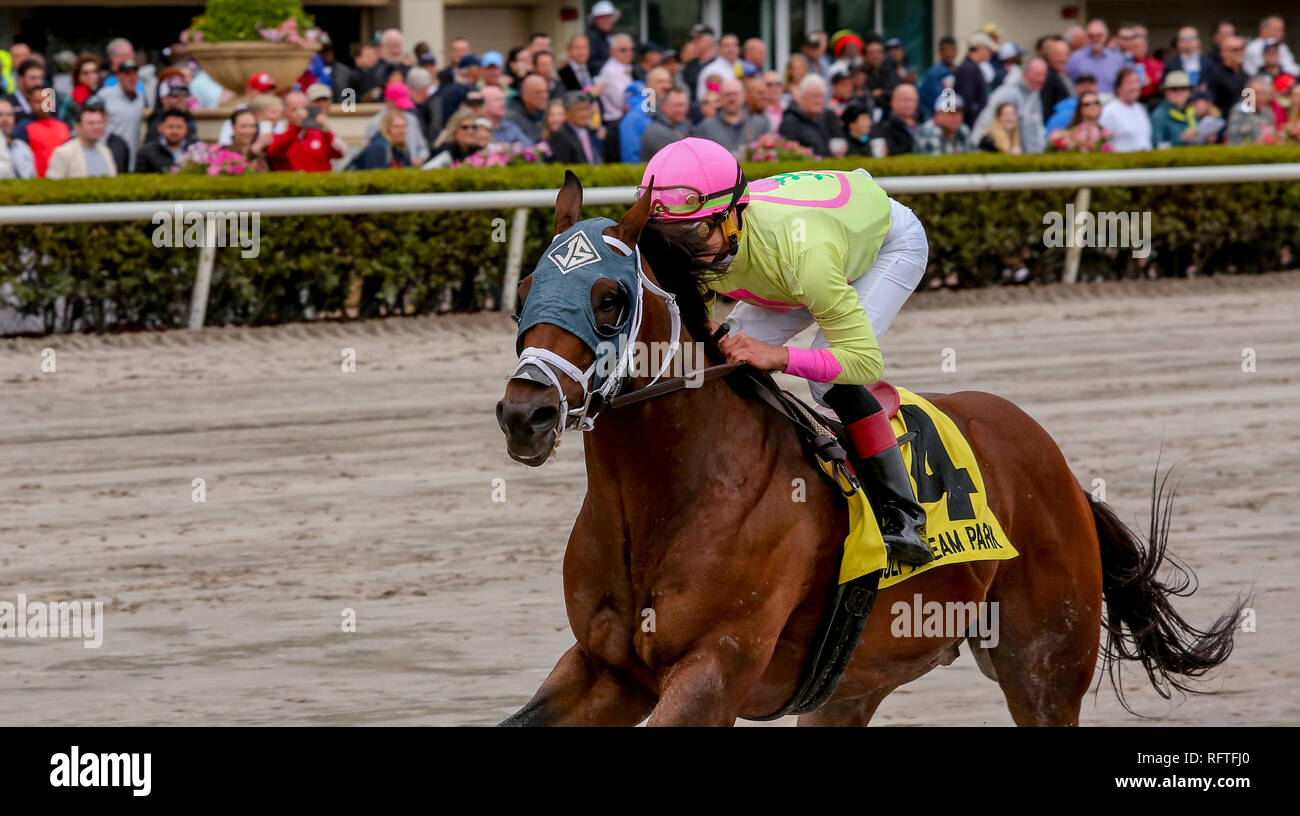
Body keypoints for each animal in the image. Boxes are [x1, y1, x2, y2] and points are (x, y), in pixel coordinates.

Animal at [491, 174, 1242, 727]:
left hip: (1045, 666)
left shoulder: (712, 671)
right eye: (523, 294)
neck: (670, 497)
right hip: (853, 685)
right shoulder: (604, 670)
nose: (525, 414)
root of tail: (1059, 471)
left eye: (609, 299)